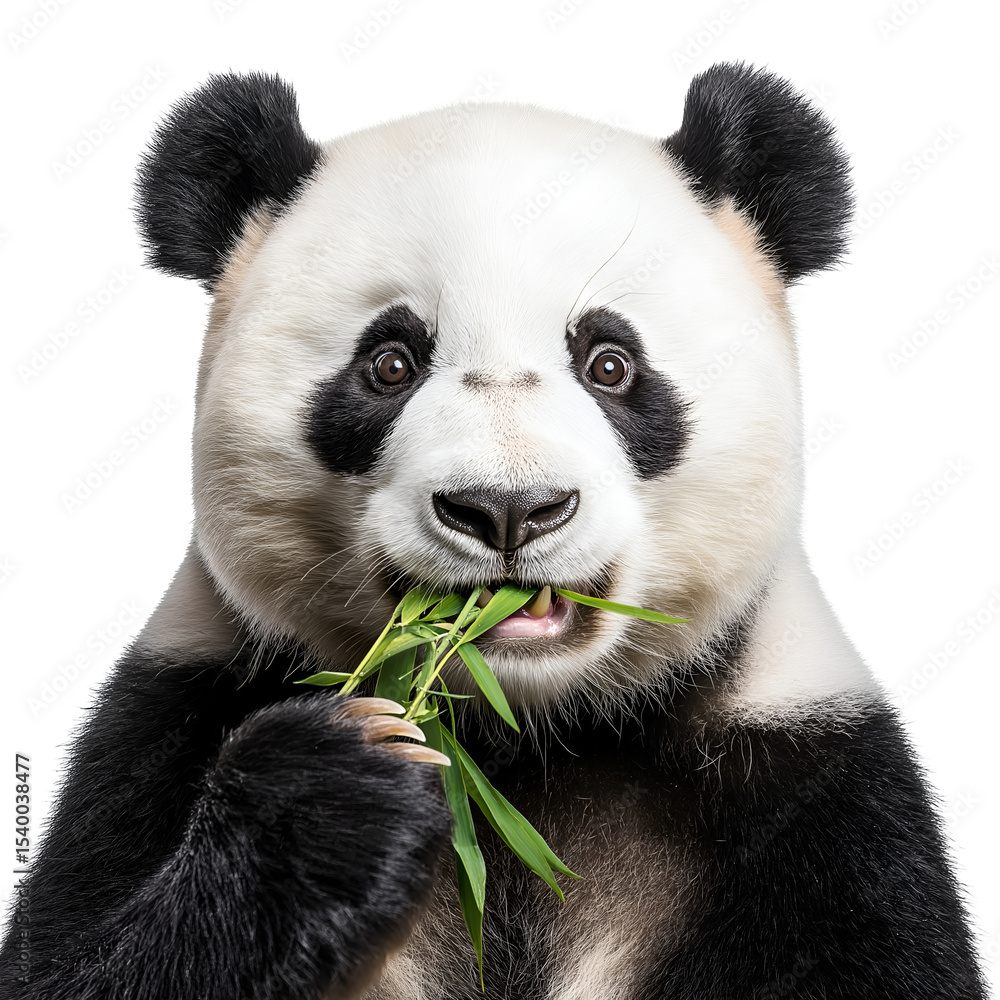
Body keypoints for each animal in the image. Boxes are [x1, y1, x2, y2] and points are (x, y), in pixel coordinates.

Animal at [0, 63, 987, 1000]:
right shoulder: (179, 715)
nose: (508, 509)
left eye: (611, 363)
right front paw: (334, 791)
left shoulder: (805, 774)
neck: (515, 735)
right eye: (389, 364)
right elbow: (75, 959)